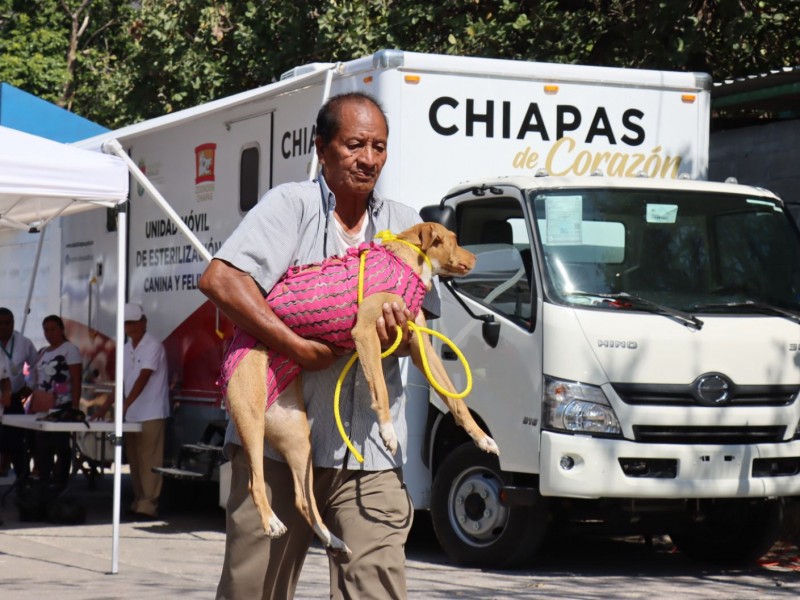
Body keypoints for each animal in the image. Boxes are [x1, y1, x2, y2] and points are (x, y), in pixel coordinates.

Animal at [225, 223, 500, 556]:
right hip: (250, 416)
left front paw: (482, 438)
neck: (407, 261)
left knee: (303, 499)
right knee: (255, 481)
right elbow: (379, 387)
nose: (476, 258)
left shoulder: (418, 345)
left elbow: (455, 400)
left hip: (298, 439)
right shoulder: (366, 330)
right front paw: (388, 432)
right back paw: (271, 522)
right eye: (455, 240)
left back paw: (332, 539)